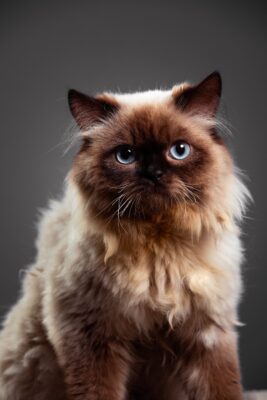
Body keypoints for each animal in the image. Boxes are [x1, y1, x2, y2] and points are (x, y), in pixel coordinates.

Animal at [0, 72, 251, 400]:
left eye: (179, 150)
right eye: (125, 156)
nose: (153, 173)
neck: (158, 243)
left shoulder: (207, 332)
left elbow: (221, 388)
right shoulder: (90, 336)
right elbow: (98, 391)